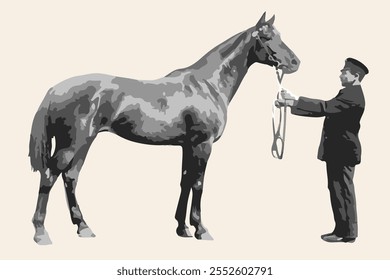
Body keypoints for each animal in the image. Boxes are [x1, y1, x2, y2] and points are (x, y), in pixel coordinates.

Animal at [29, 12, 300, 244]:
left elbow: (185, 181)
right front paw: (201, 230)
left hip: (84, 143)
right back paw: (41, 232)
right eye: (267, 37)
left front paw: (182, 228)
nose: (295, 62)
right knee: (50, 175)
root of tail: (54, 90)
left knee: (71, 177)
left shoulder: (187, 146)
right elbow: (198, 184)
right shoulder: (203, 145)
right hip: (72, 144)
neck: (208, 84)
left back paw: (83, 227)